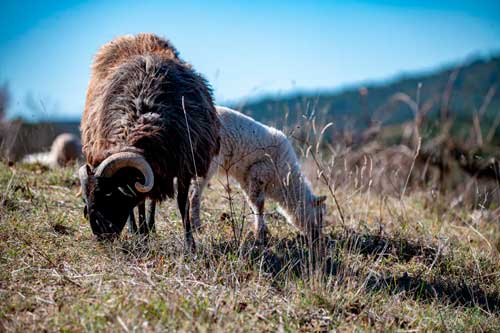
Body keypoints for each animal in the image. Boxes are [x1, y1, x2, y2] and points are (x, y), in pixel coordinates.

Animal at [78, 33, 219, 248]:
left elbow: (182, 204)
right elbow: (139, 203)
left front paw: (190, 245)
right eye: (87, 195)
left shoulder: (184, 165)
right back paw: (138, 229)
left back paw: (150, 227)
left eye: (109, 193)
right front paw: (141, 235)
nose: (101, 235)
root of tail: (137, 36)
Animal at [189, 106, 326, 241]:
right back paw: (196, 226)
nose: (317, 236)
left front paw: (260, 229)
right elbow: (258, 204)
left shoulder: (246, 178)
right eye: (320, 215)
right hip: (205, 162)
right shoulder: (260, 172)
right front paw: (261, 233)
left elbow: (251, 202)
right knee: (194, 194)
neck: (284, 179)